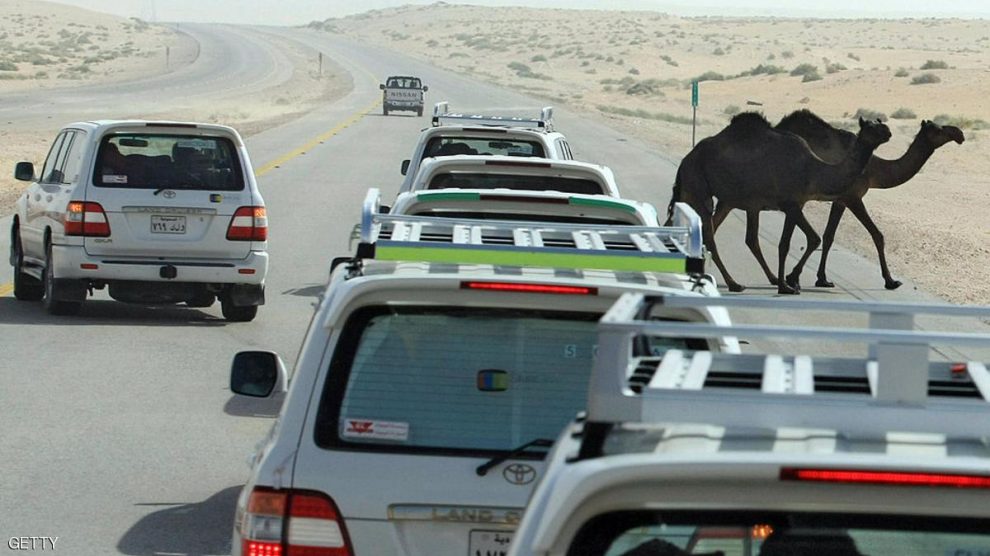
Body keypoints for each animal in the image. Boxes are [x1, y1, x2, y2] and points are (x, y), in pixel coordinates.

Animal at [667, 112, 891, 294]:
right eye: (871, 127)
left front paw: (786, 282)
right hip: (699, 189)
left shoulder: (790, 205)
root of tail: (686, 160)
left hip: (713, 197)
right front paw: (788, 284)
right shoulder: (790, 203)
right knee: (710, 234)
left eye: (879, 123)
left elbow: (792, 242)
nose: (888, 131)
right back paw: (733, 284)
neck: (812, 170)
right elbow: (798, 241)